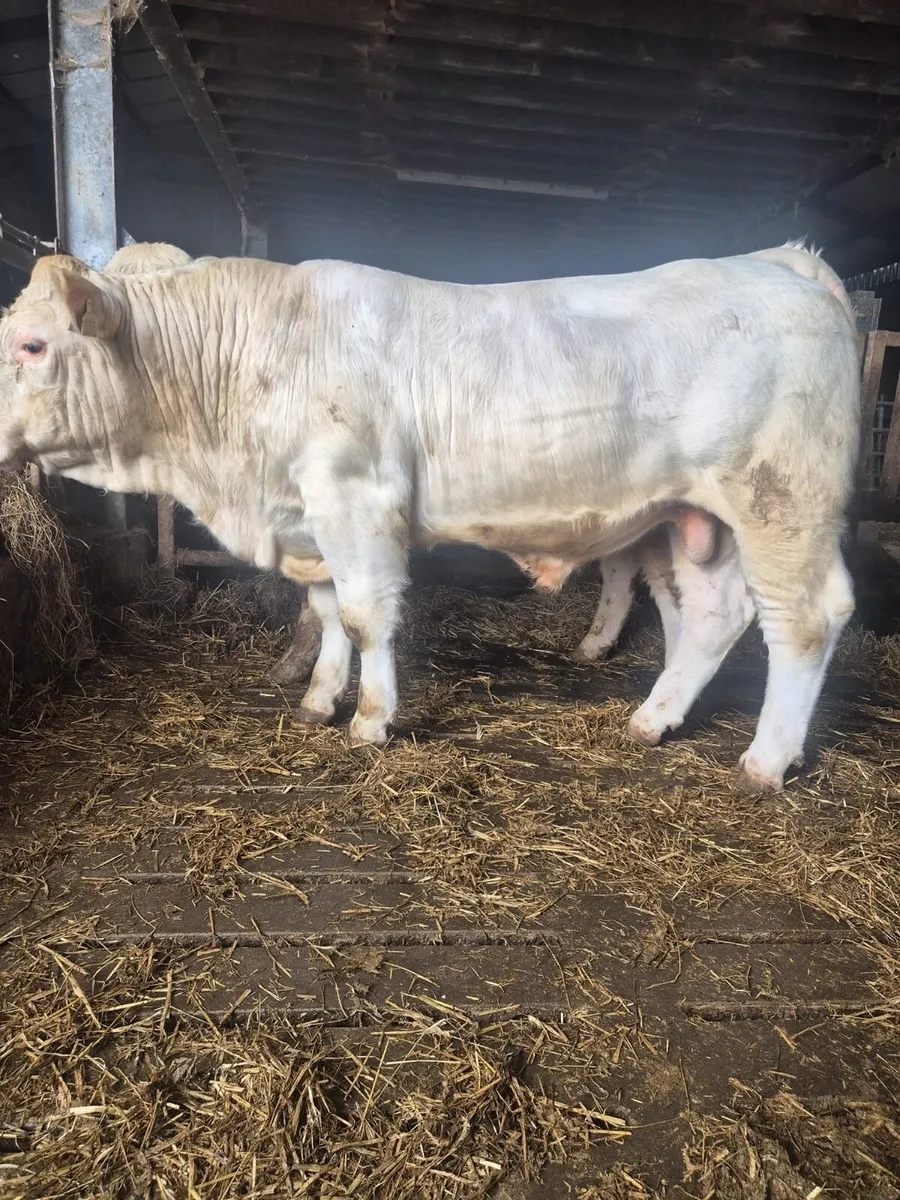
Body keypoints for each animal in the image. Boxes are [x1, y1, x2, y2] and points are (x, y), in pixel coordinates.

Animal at [0, 242, 858, 791]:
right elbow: (325, 610)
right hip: (696, 520)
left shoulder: (356, 497)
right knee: (714, 612)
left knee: (806, 618)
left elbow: (364, 615)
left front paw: (372, 719)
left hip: (782, 500)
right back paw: (653, 719)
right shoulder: (309, 517)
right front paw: (318, 700)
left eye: (34, 345)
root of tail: (781, 262)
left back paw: (765, 762)